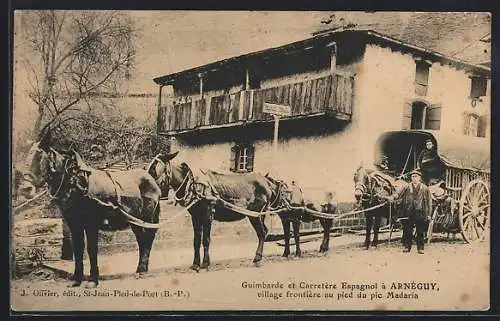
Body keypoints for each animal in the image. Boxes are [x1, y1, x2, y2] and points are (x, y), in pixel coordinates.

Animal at [17, 141, 161, 286]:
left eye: (39, 157)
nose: (24, 189)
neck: (75, 182)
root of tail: (151, 179)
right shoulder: (74, 223)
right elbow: (78, 249)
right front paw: (77, 279)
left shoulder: (91, 223)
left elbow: (91, 249)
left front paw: (93, 280)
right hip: (135, 221)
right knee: (141, 240)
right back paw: (140, 269)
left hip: (147, 217)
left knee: (148, 238)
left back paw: (142, 270)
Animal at [146, 151, 288, 270]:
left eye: (153, 169)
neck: (194, 186)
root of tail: (266, 181)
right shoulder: (195, 216)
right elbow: (196, 240)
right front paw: (195, 264)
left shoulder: (208, 214)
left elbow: (206, 239)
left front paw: (205, 263)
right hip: (258, 215)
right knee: (264, 232)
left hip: (255, 214)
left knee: (262, 232)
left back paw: (257, 258)